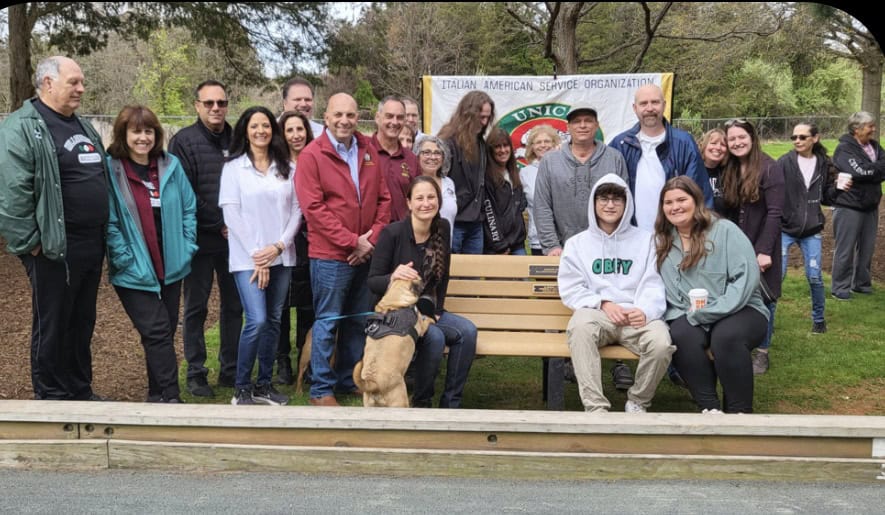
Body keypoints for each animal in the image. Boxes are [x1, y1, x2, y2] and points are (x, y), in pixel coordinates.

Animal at [352, 280, 436, 410]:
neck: (393, 303)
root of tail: (374, 383)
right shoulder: (421, 327)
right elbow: (427, 320)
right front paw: (433, 319)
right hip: (401, 401)